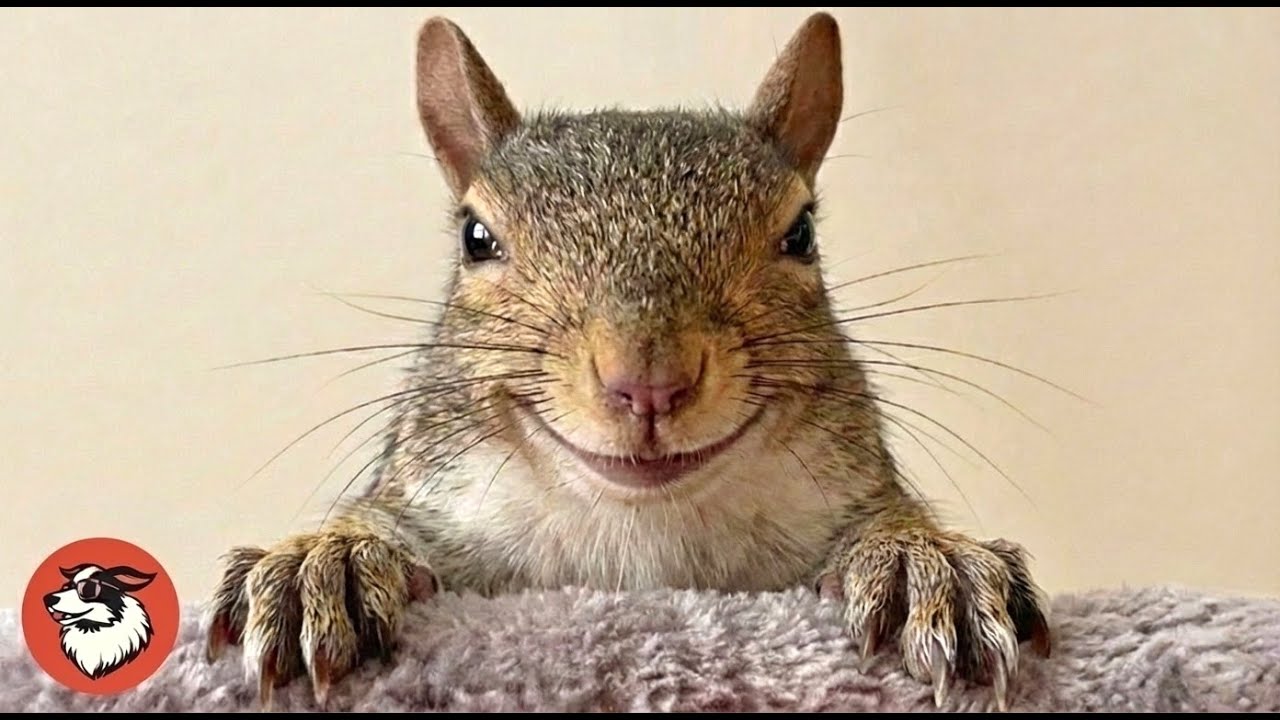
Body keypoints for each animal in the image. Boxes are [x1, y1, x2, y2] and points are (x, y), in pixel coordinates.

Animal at [204, 12, 1051, 712]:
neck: (639, 553)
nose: (649, 381)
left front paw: (926, 559)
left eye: (801, 233)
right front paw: (327, 560)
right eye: (476, 238)